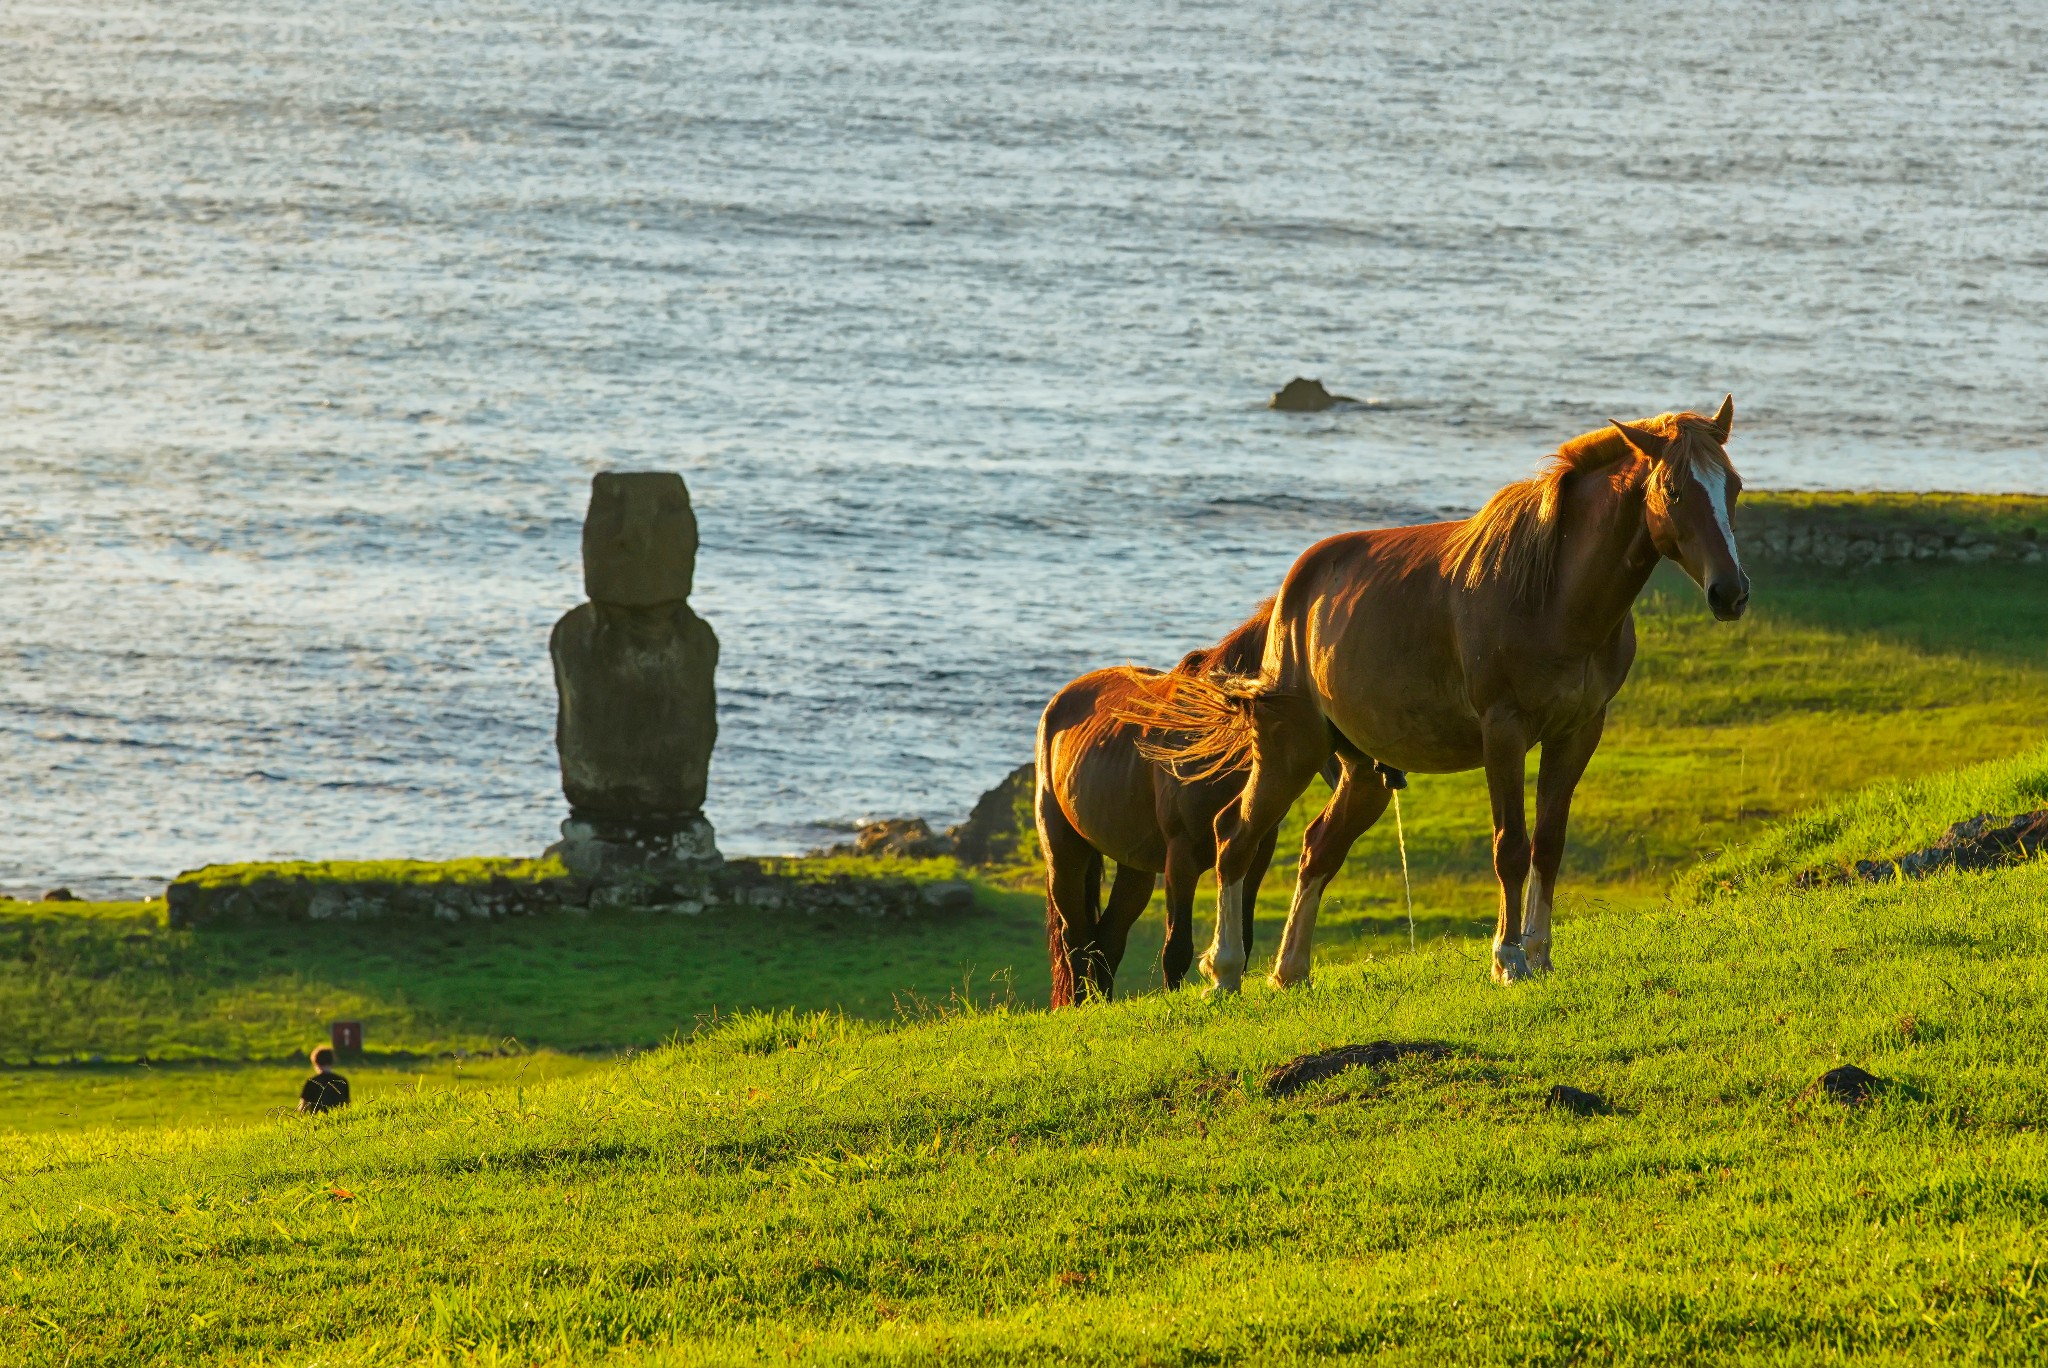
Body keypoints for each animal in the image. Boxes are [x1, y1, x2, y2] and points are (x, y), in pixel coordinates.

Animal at [1122, 401, 1744, 987]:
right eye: (1673, 488)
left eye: (1734, 486)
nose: (1730, 592)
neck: (1552, 594)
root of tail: (1287, 600)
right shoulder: (1504, 730)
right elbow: (1511, 846)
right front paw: (1508, 959)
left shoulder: (1578, 731)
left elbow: (1548, 843)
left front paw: (1540, 954)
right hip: (1289, 747)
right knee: (1235, 835)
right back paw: (1225, 970)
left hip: (1362, 771)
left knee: (1317, 847)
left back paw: (1290, 970)